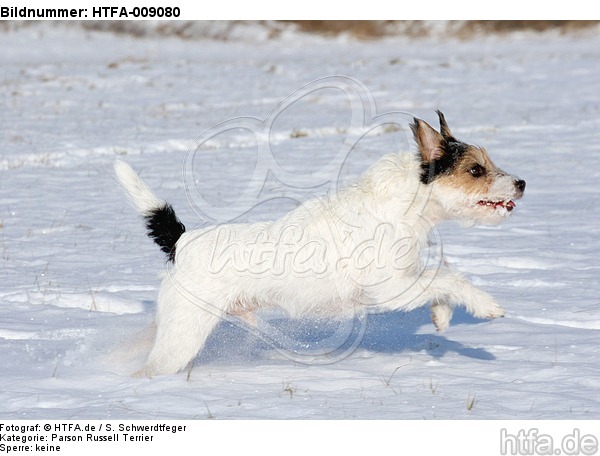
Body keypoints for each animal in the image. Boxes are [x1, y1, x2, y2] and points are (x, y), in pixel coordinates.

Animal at [113, 112, 524, 376]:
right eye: (476, 170)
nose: (521, 183)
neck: (406, 202)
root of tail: (182, 241)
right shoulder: (391, 287)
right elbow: (448, 277)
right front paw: (485, 305)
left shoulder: (406, 278)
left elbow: (443, 277)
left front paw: (442, 315)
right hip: (183, 335)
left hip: (174, 323)